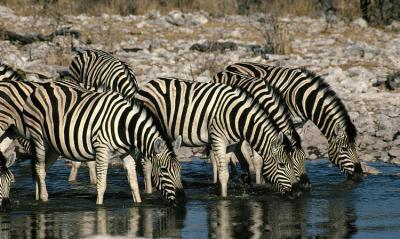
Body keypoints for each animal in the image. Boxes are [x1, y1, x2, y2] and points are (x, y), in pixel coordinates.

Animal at [21, 81, 184, 205]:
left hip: (54, 145)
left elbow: (133, 184)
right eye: (163, 170)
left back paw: (38, 196)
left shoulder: (127, 154)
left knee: (41, 168)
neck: (124, 125)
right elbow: (101, 185)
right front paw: (99, 208)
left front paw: (138, 204)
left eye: (180, 169)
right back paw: (44, 199)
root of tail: (42, 86)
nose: (183, 199)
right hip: (38, 137)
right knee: (39, 167)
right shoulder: (102, 151)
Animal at [136, 77, 298, 197]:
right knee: (146, 164)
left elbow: (224, 170)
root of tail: (145, 86)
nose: (296, 193)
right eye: (282, 165)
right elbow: (224, 173)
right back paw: (149, 193)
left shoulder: (231, 144)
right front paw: (224, 198)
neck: (236, 117)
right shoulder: (218, 138)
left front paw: (220, 190)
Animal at [225, 62, 362, 178]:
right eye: (344, 149)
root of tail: (232, 65)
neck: (303, 98)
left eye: (355, 146)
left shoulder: (299, 124)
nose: (359, 174)